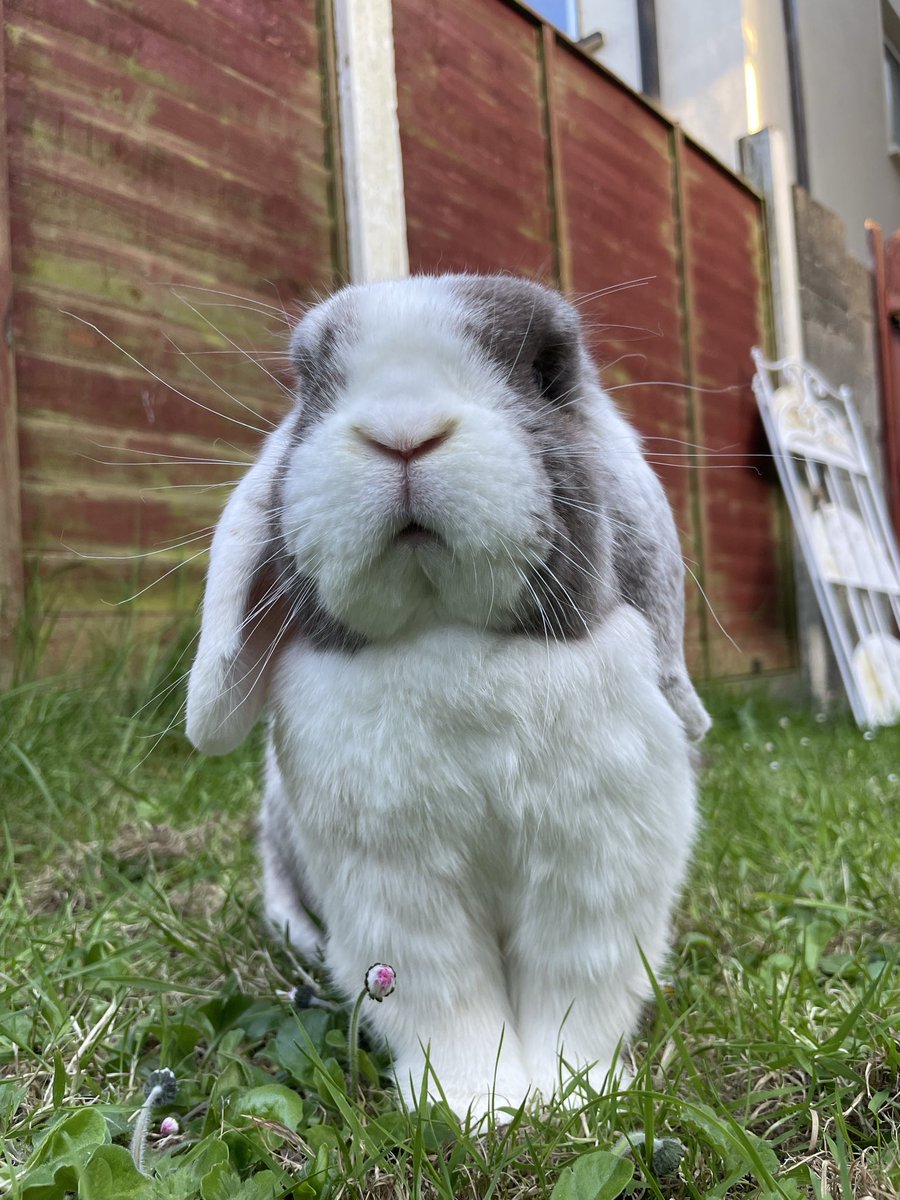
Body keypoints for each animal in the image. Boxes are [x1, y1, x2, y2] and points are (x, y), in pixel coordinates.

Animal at [186, 274, 710, 1120]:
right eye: (310, 382)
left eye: (546, 370)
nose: (403, 432)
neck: (449, 636)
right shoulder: (397, 889)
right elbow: (445, 997)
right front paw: (475, 1107)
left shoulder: (594, 871)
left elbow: (577, 991)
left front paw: (574, 1098)